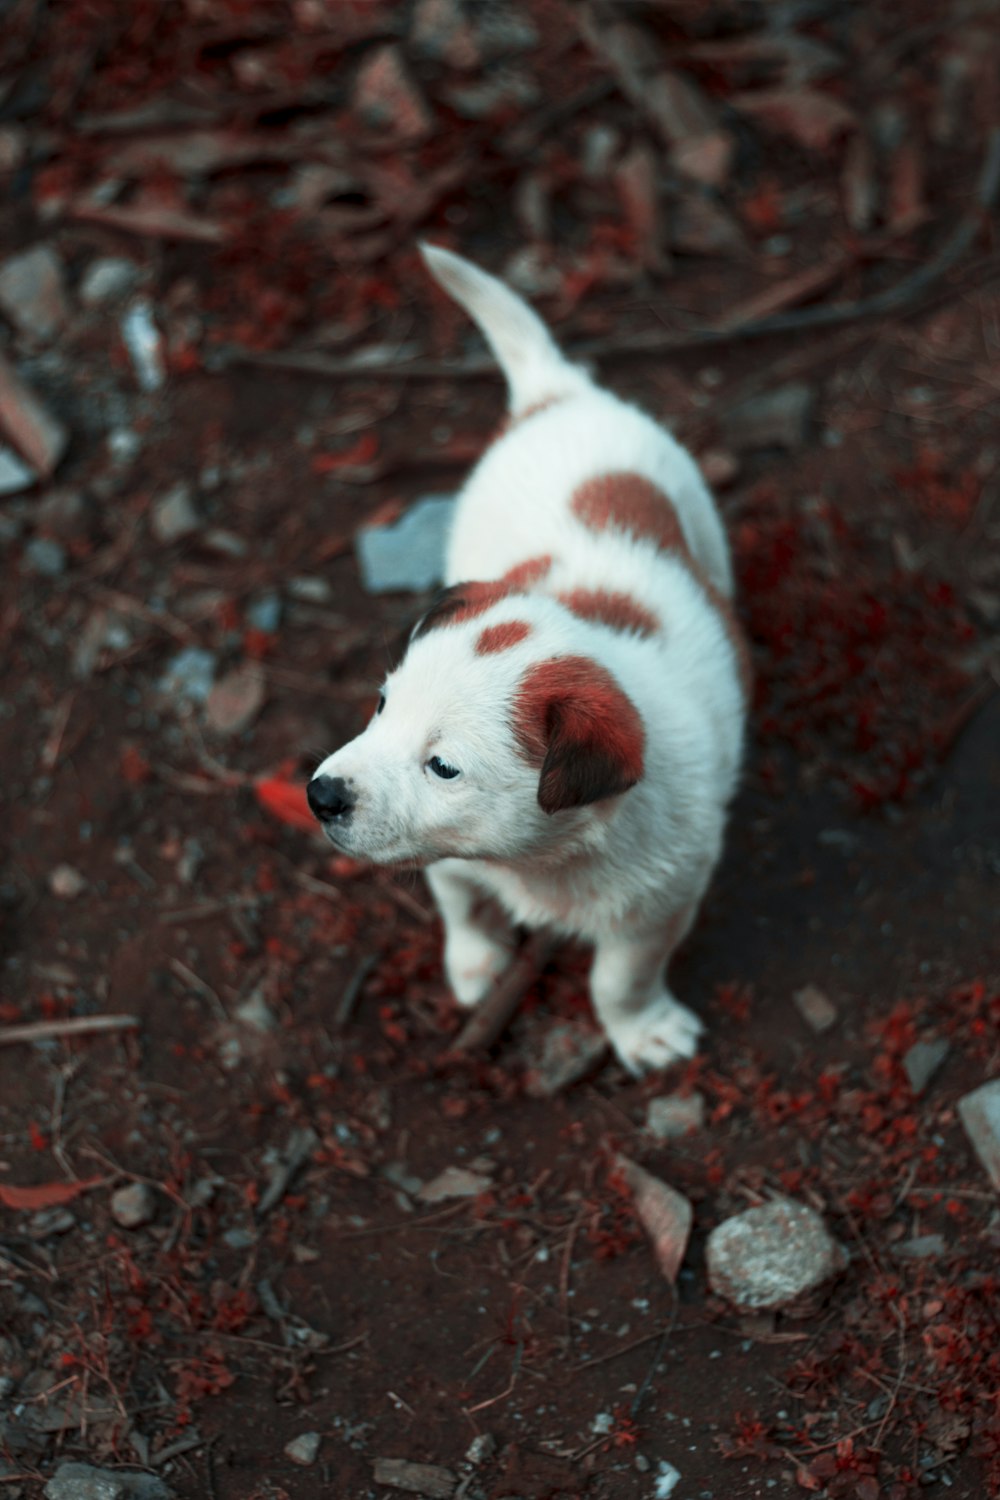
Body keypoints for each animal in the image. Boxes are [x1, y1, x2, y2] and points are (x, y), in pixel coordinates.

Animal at [308, 243, 746, 1068]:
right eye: (382, 705)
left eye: (443, 766)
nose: (320, 795)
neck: (537, 862)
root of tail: (558, 391)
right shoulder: (446, 858)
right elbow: (461, 906)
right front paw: (478, 967)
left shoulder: (658, 907)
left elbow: (619, 979)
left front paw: (643, 1031)